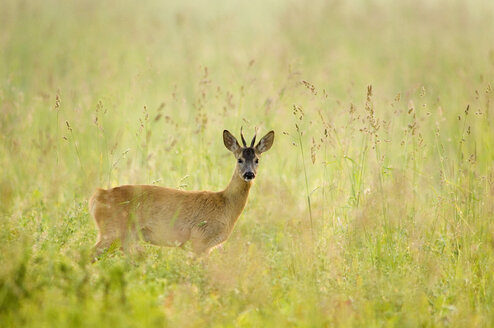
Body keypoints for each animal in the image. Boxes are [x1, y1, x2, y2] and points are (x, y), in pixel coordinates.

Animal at [89, 128, 274, 258]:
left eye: (257, 160)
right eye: (239, 159)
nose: (249, 174)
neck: (225, 204)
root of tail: (98, 196)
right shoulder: (199, 239)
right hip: (112, 230)